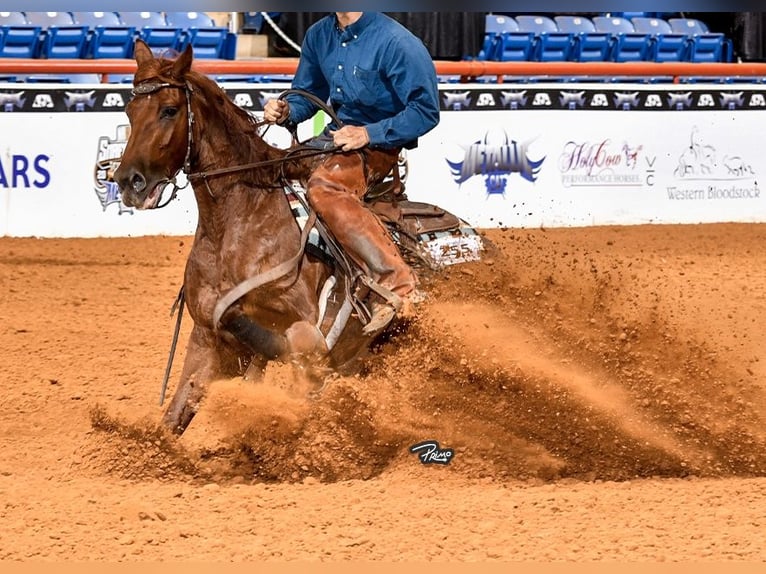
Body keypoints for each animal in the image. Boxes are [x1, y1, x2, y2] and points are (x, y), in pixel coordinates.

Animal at [114, 40, 482, 435]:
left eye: (169, 110)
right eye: (130, 110)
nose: (128, 181)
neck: (236, 229)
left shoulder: (302, 329)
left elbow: (290, 344)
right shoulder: (205, 338)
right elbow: (175, 415)